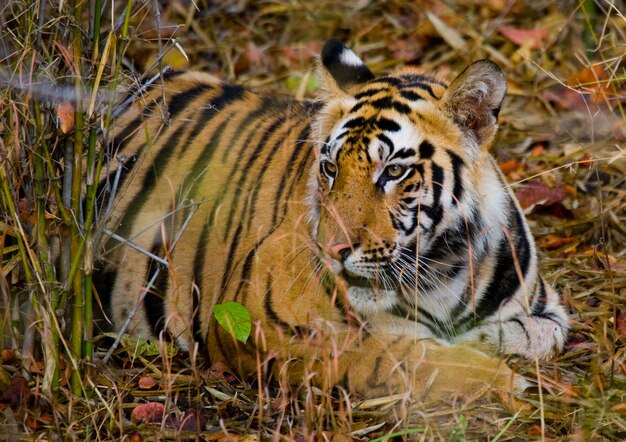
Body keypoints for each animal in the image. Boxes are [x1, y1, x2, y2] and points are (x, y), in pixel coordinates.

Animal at [96, 39, 564, 398]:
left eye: (393, 171)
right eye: (331, 168)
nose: (333, 250)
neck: (443, 266)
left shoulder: (548, 312)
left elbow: (537, 335)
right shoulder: (258, 319)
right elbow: (394, 355)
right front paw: (501, 379)